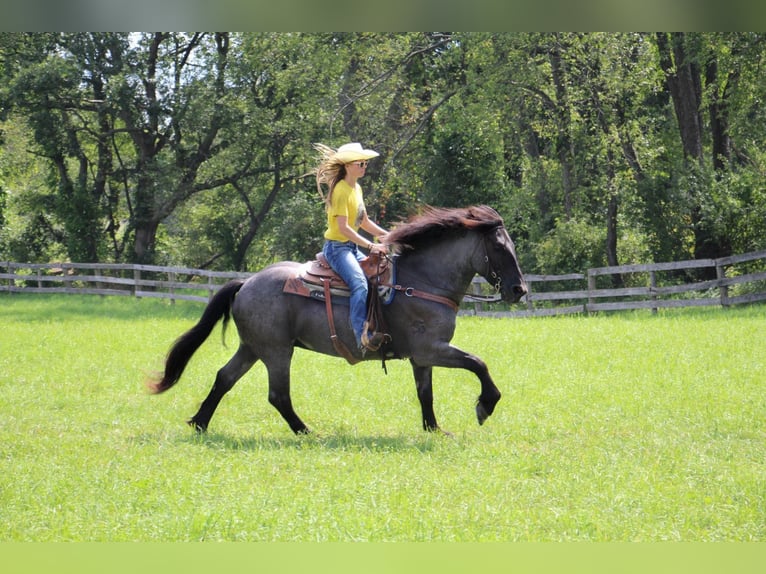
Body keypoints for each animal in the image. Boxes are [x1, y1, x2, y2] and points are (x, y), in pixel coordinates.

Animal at [150, 205, 532, 434]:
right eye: (499, 247)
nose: (519, 289)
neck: (420, 282)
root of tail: (247, 282)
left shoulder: (423, 357)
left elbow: (426, 394)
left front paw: (434, 430)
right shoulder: (431, 349)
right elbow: (478, 363)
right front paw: (485, 405)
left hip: (254, 347)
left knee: (224, 378)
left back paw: (200, 423)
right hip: (277, 352)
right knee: (277, 394)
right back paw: (305, 431)